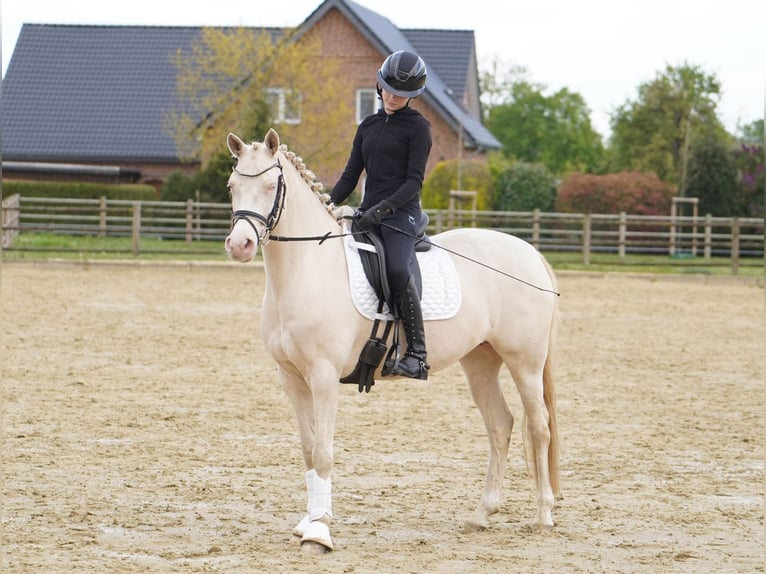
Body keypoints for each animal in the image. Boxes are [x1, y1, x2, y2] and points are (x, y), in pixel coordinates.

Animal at [224, 128, 561, 554]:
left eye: (271, 186)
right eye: (232, 186)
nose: (240, 246)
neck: (307, 269)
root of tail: (531, 253)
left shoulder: (323, 377)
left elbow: (323, 451)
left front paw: (319, 532)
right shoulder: (292, 378)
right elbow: (307, 449)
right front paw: (308, 522)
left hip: (525, 361)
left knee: (539, 427)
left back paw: (544, 516)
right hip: (481, 362)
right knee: (501, 425)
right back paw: (482, 515)